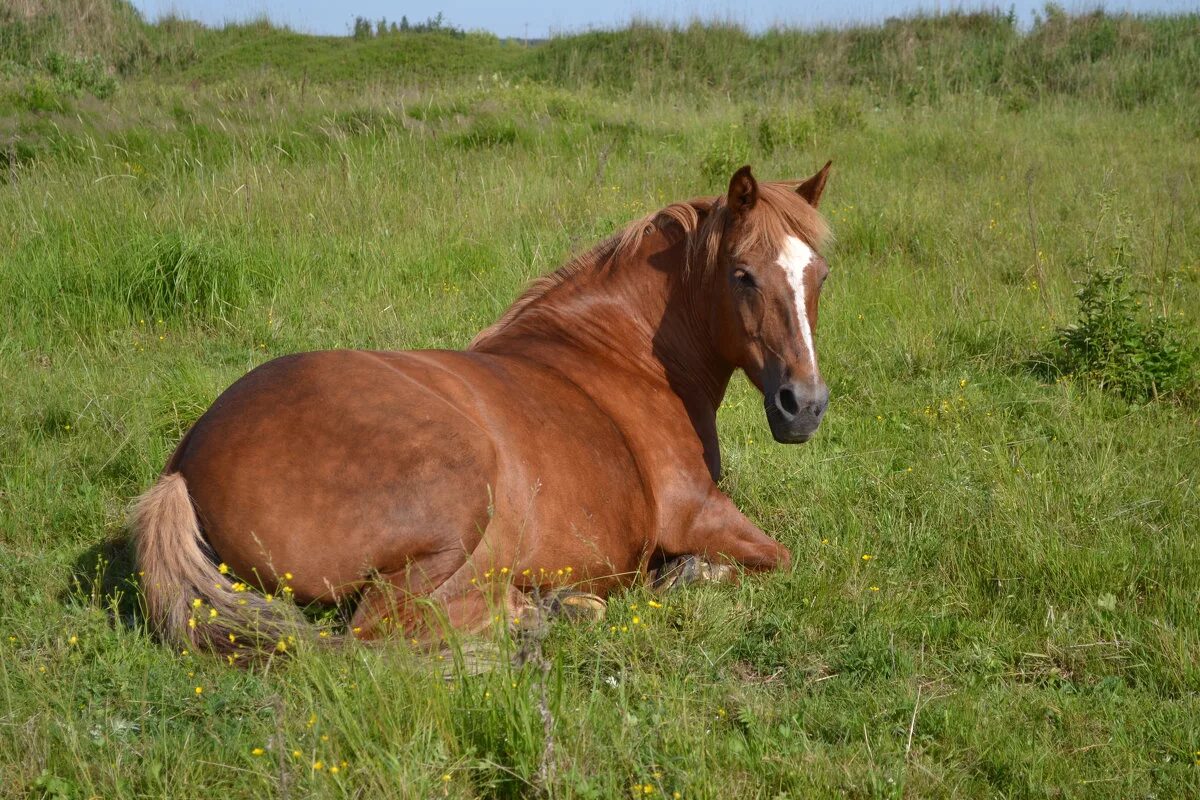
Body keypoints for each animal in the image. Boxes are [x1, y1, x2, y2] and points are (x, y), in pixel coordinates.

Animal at [133, 163, 835, 657]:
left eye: (820, 276)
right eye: (742, 274)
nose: (803, 405)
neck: (629, 356)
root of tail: (185, 464)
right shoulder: (701, 513)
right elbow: (776, 559)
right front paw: (687, 576)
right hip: (456, 488)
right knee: (383, 628)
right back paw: (541, 611)